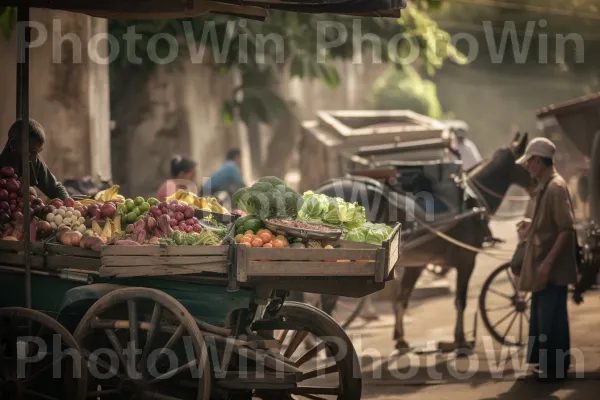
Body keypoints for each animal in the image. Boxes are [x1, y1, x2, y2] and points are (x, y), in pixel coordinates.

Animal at [316, 133, 532, 352]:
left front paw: (400, 339)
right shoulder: (467, 260)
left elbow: (402, 299)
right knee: (327, 300)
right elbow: (460, 301)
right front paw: (461, 340)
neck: (469, 200)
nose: (537, 188)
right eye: (526, 161)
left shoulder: (416, 264)